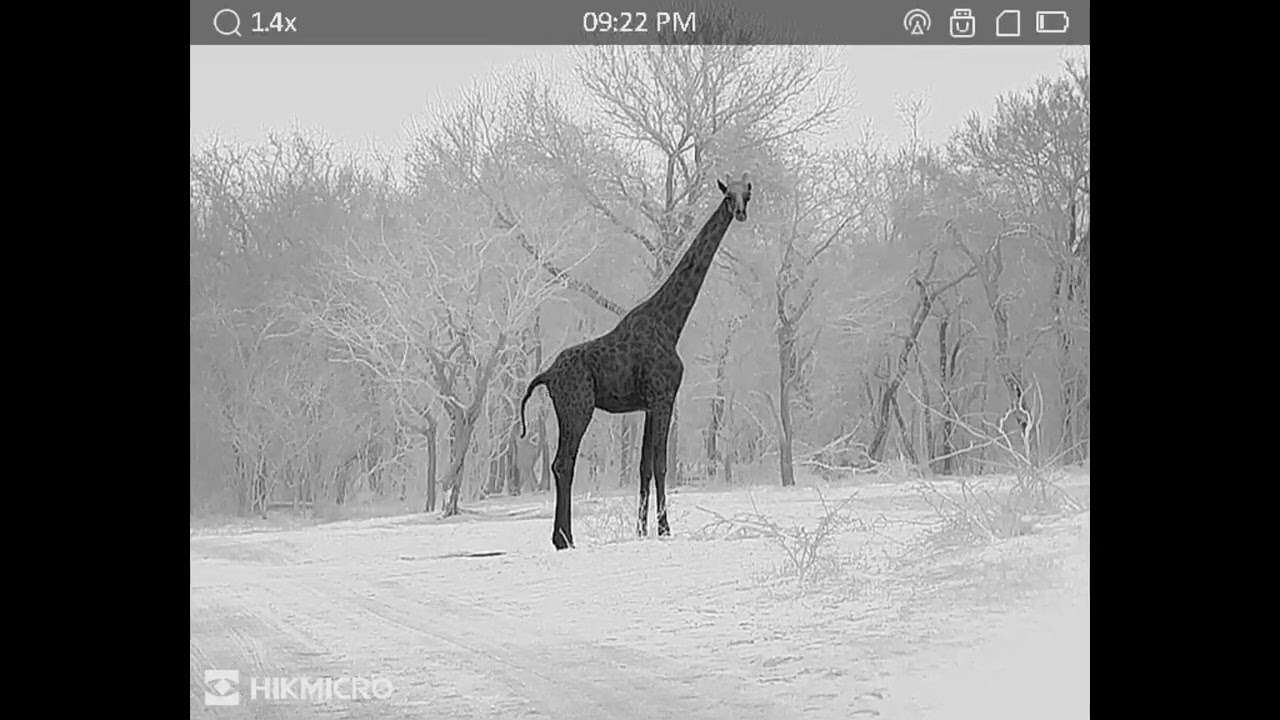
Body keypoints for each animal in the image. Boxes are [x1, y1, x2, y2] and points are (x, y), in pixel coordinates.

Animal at [520, 173, 753, 549]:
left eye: (747, 192)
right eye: (727, 195)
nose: (741, 213)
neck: (672, 324)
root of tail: (546, 375)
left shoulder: (646, 404)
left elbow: (643, 466)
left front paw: (641, 530)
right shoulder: (664, 396)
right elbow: (661, 464)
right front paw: (665, 529)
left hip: (568, 409)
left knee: (562, 464)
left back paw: (563, 537)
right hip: (577, 407)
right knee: (562, 463)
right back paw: (564, 538)